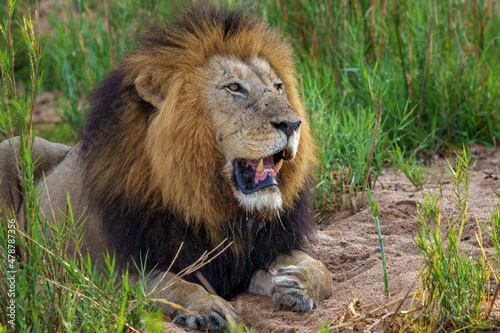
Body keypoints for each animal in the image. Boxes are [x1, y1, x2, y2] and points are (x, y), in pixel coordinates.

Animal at [2, 4, 336, 330]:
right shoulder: (118, 272)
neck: (219, 208)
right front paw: (208, 308)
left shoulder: (257, 252)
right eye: (234, 87)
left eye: (278, 86)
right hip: (14, 146)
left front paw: (298, 284)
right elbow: (171, 284)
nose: (293, 124)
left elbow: (322, 269)